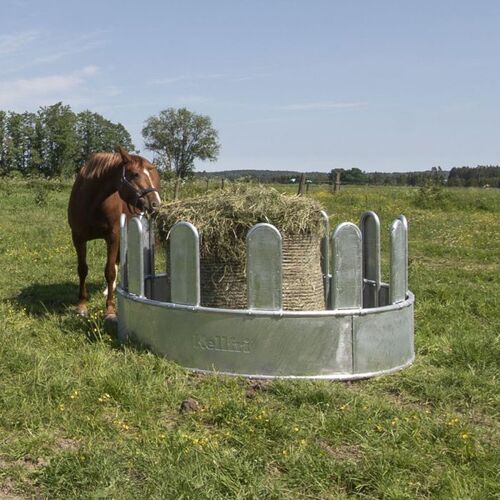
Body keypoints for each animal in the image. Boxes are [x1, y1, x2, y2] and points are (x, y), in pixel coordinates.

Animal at [68, 146, 160, 316]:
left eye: (149, 174)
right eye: (135, 174)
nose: (156, 203)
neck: (91, 201)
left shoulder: (113, 236)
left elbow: (109, 271)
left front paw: (110, 308)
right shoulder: (78, 238)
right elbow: (82, 269)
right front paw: (82, 305)